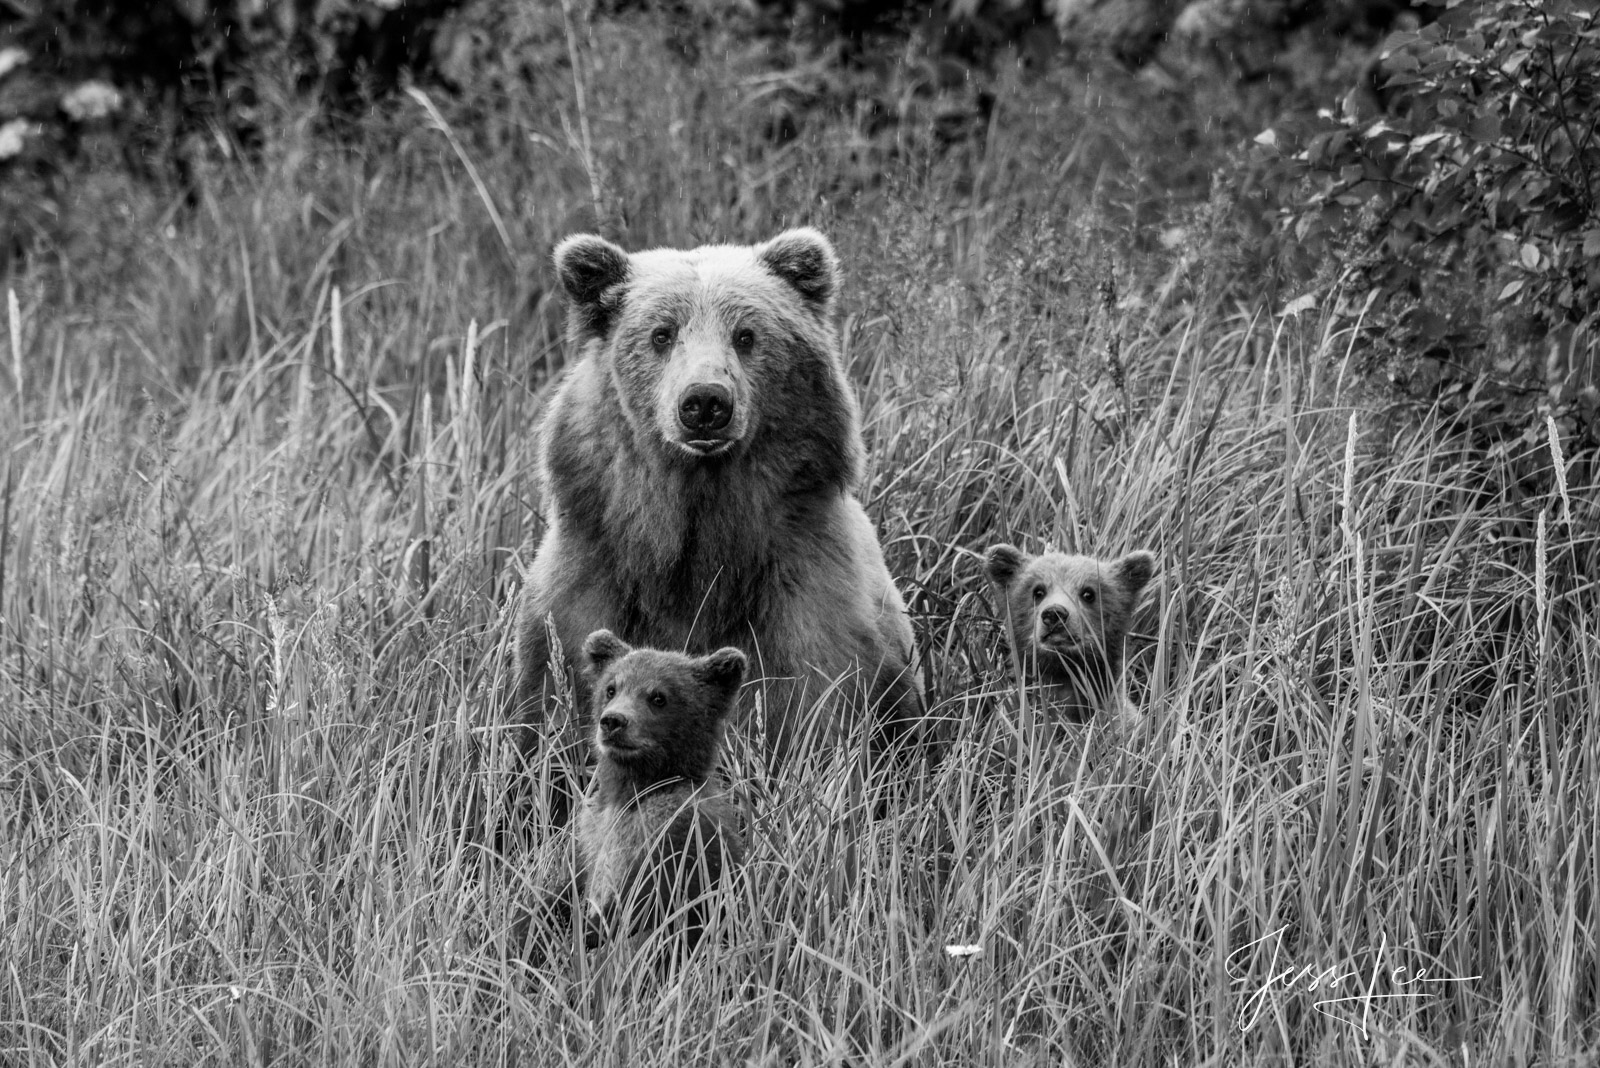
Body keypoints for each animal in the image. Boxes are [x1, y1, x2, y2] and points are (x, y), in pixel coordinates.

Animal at [505, 227, 921, 818]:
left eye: (746, 334)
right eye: (661, 334)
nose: (704, 402)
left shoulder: (802, 598)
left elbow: (813, 714)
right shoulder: (589, 580)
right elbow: (552, 713)